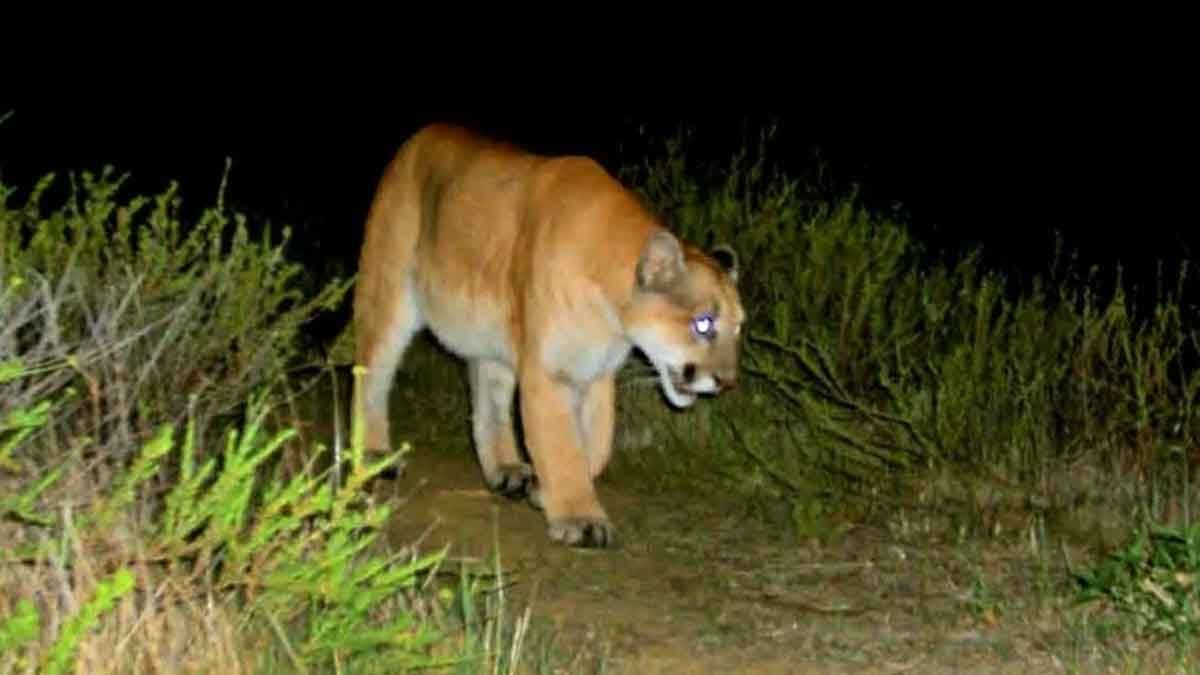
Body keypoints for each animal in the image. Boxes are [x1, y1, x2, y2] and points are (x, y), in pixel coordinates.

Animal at [351, 122, 744, 548]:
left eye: (739, 328)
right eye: (703, 323)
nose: (727, 382)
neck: (611, 313)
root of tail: (422, 133)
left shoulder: (595, 372)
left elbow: (597, 443)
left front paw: (546, 489)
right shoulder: (547, 370)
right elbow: (561, 443)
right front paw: (580, 518)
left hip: (491, 335)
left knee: (488, 397)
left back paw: (506, 469)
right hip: (389, 291)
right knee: (371, 372)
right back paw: (374, 456)